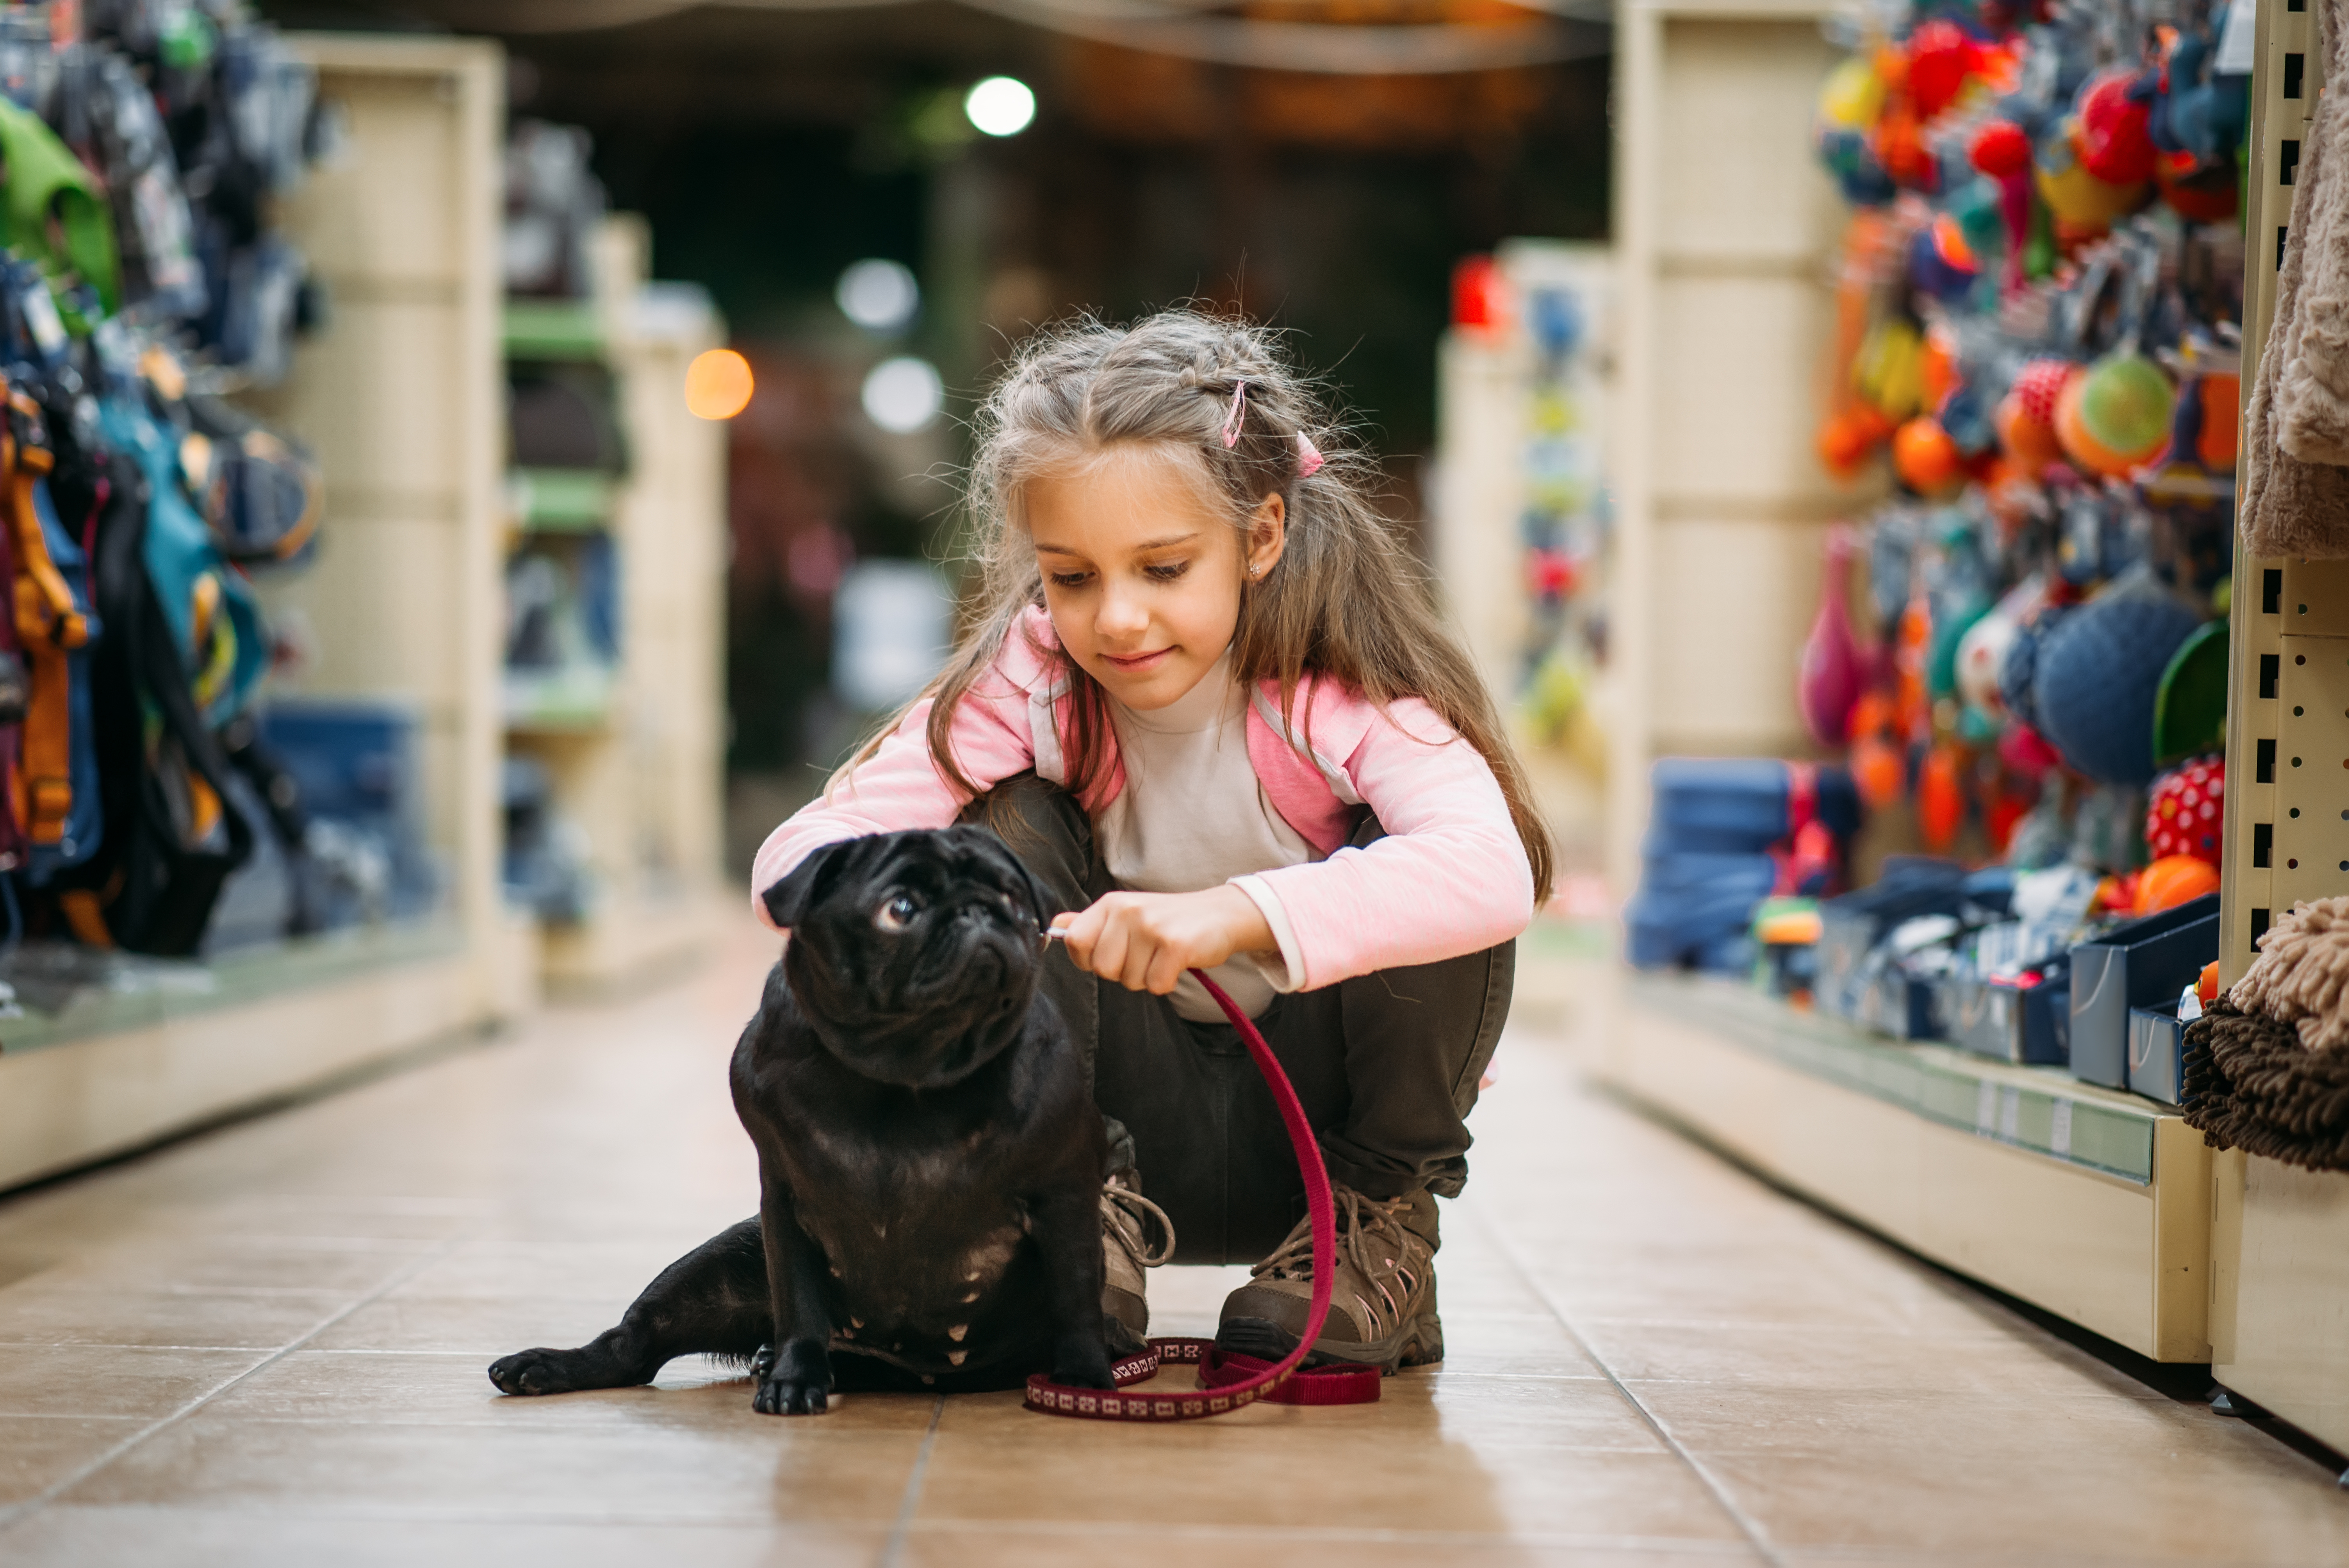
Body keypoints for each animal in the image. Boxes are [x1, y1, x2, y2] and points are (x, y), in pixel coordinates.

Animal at [486, 826, 1118, 1418]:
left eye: (1013, 897)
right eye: (900, 909)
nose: (980, 911)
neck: (908, 1073)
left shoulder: (1063, 1196)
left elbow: (1076, 1297)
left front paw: (1085, 1378)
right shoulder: (786, 1206)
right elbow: (800, 1305)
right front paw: (795, 1379)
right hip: (718, 1268)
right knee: (633, 1349)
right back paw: (550, 1366)